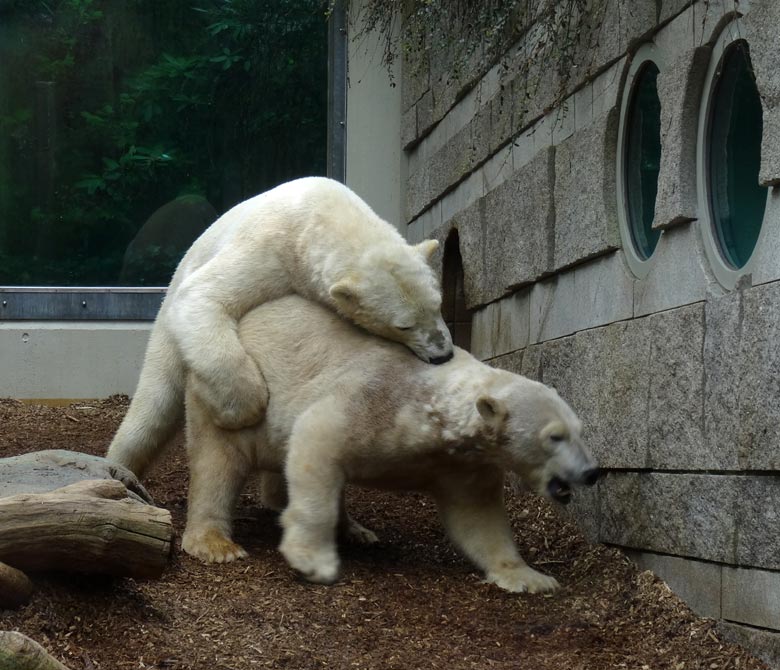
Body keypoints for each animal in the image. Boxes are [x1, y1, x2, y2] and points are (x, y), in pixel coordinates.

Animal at [106, 177, 454, 478]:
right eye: (404, 326)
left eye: (438, 304)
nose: (443, 354)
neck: (322, 212)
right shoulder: (270, 247)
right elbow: (202, 294)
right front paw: (241, 410)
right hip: (167, 323)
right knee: (155, 401)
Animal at [174, 296, 600, 596]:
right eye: (554, 436)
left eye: (580, 430)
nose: (592, 472)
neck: (433, 410)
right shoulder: (373, 400)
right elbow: (315, 441)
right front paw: (314, 562)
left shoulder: (460, 464)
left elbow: (478, 516)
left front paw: (531, 577)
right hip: (230, 398)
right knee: (218, 464)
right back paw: (215, 543)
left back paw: (355, 530)